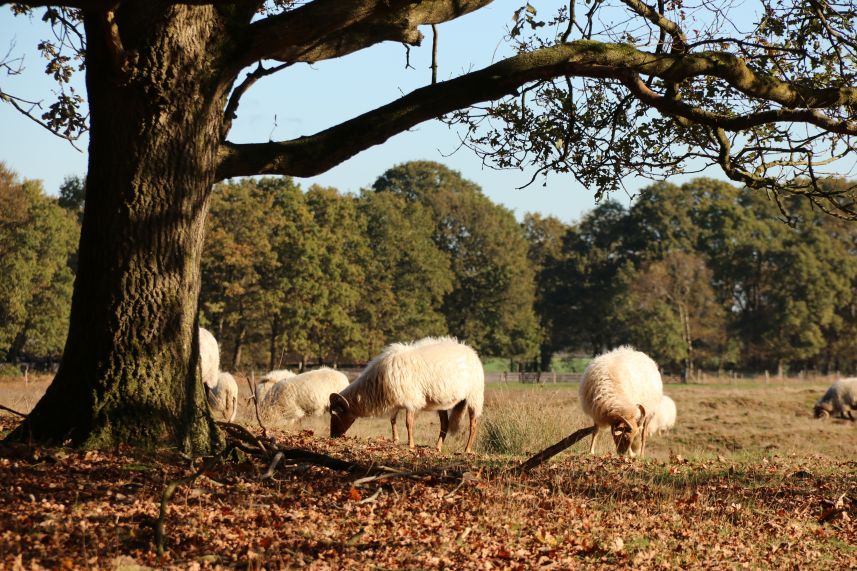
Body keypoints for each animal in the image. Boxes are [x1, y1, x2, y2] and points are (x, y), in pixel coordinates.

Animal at [328, 338, 484, 454]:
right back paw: (438, 448)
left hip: (474, 396)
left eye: (336, 415)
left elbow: (408, 423)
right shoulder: (397, 399)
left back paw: (467, 450)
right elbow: (392, 420)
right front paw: (395, 439)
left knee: (474, 424)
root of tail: (471, 351)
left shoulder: (410, 399)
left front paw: (411, 445)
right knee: (445, 424)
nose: (333, 436)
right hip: (443, 401)